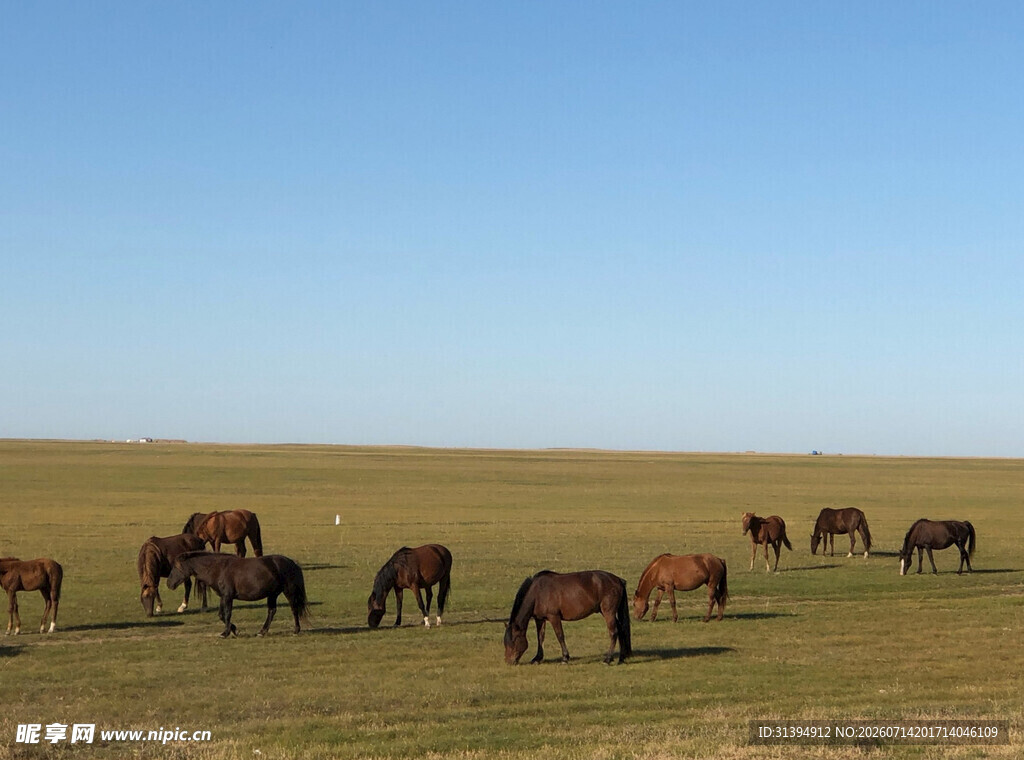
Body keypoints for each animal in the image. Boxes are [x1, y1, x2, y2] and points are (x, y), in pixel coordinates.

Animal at [167, 552, 309, 637]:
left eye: (176, 567)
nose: (169, 584)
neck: (219, 569)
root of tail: (292, 563)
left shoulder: (228, 596)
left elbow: (227, 614)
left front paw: (226, 633)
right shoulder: (223, 596)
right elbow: (221, 615)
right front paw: (234, 630)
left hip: (288, 591)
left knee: (294, 609)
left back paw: (296, 630)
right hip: (272, 594)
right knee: (272, 611)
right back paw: (262, 632)